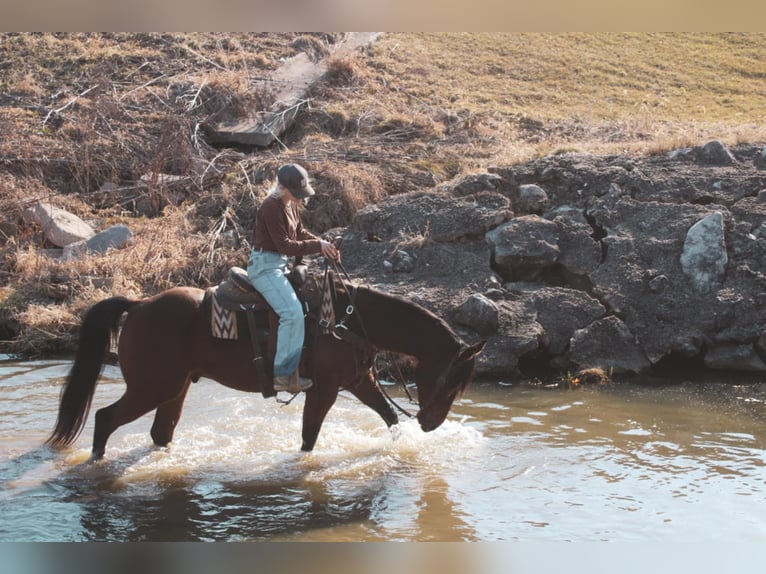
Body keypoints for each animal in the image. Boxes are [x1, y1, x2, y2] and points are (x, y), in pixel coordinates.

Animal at [46, 268, 486, 462]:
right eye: (452, 383)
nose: (431, 424)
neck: (348, 319)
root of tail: (138, 305)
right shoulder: (325, 390)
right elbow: (309, 437)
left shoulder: (361, 381)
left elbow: (390, 419)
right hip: (150, 388)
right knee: (104, 419)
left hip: (175, 388)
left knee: (160, 432)